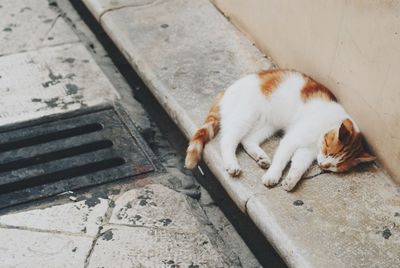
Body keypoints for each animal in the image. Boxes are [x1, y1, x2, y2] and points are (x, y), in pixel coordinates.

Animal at [184, 68, 376, 192]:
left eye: (335, 167)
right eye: (329, 152)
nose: (322, 165)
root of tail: (226, 90)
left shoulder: (307, 151)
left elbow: (298, 166)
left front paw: (291, 180)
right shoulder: (293, 139)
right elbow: (282, 159)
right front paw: (274, 176)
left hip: (267, 124)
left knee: (247, 140)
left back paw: (260, 157)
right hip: (246, 115)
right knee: (229, 139)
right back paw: (232, 164)